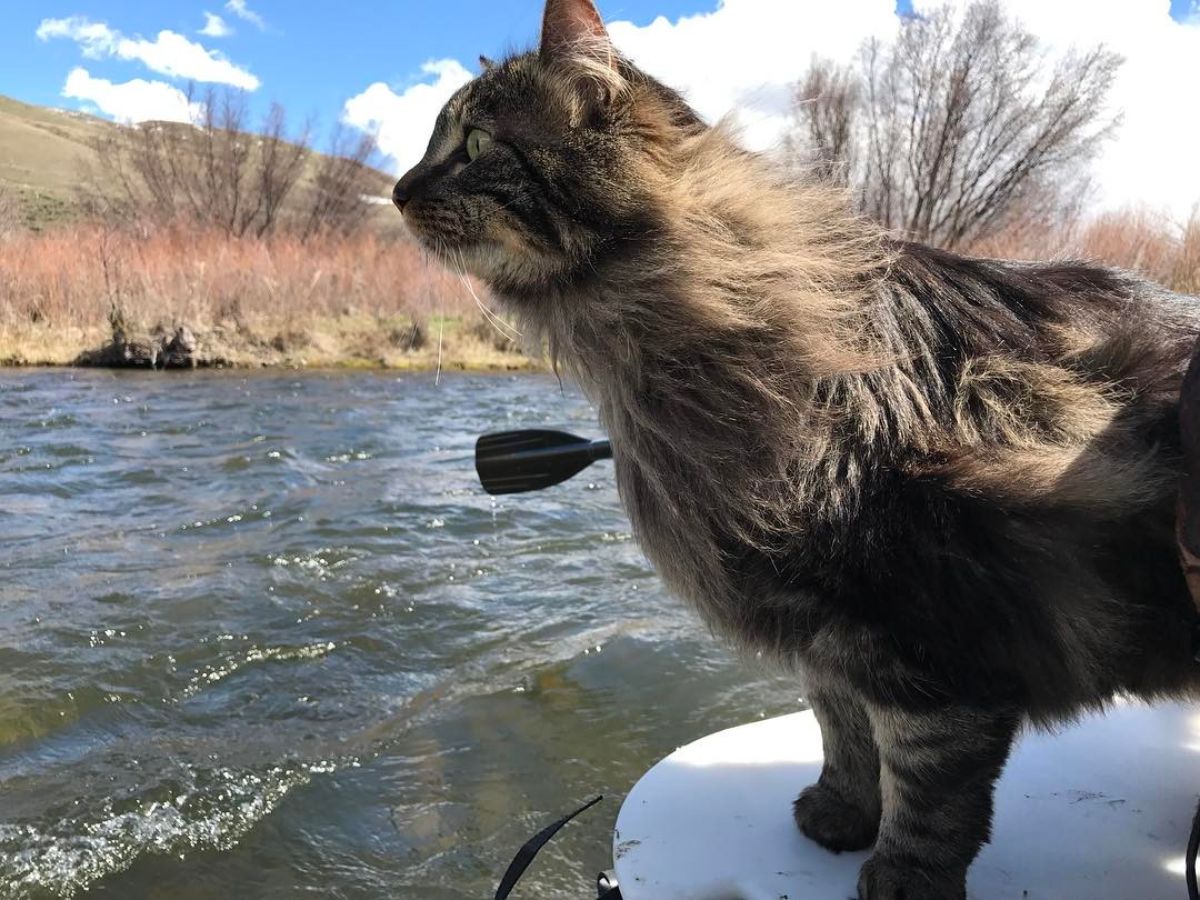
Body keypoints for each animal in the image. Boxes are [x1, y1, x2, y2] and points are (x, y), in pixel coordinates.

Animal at [391, 3, 1200, 897]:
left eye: (473, 145)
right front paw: (839, 818)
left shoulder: (926, 643)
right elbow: (844, 738)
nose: (397, 190)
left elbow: (927, 785)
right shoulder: (829, 645)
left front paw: (903, 877)